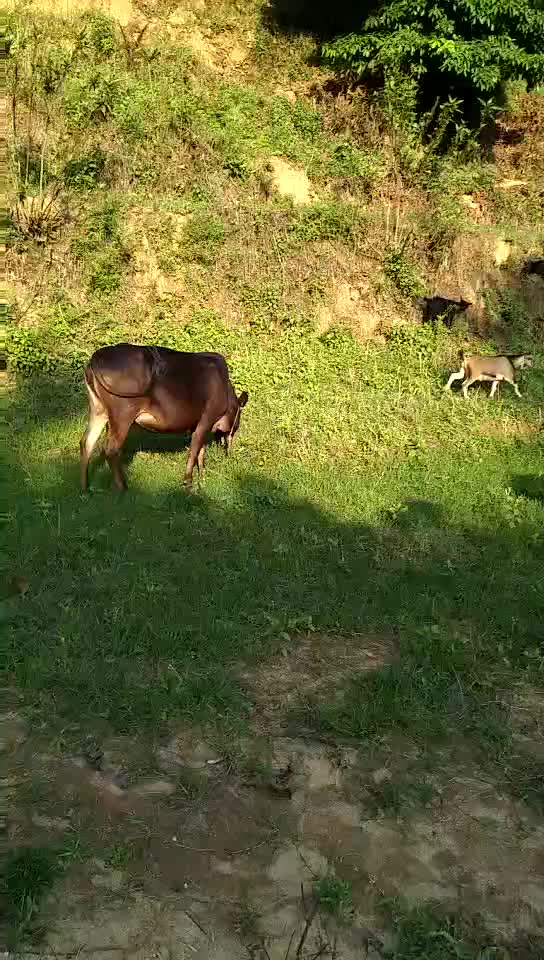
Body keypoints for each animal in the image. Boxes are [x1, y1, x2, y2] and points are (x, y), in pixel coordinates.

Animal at [80, 344, 249, 492]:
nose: (229, 450)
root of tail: (96, 358)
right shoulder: (206, 419)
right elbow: (193, 452)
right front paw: (188, 484)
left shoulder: (197, 424)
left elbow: (201, 452)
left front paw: (202, 478)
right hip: (122, 413)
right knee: (111, 449)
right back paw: (122, 488)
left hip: (98, 410)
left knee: (86, 442)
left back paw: (85, 488)